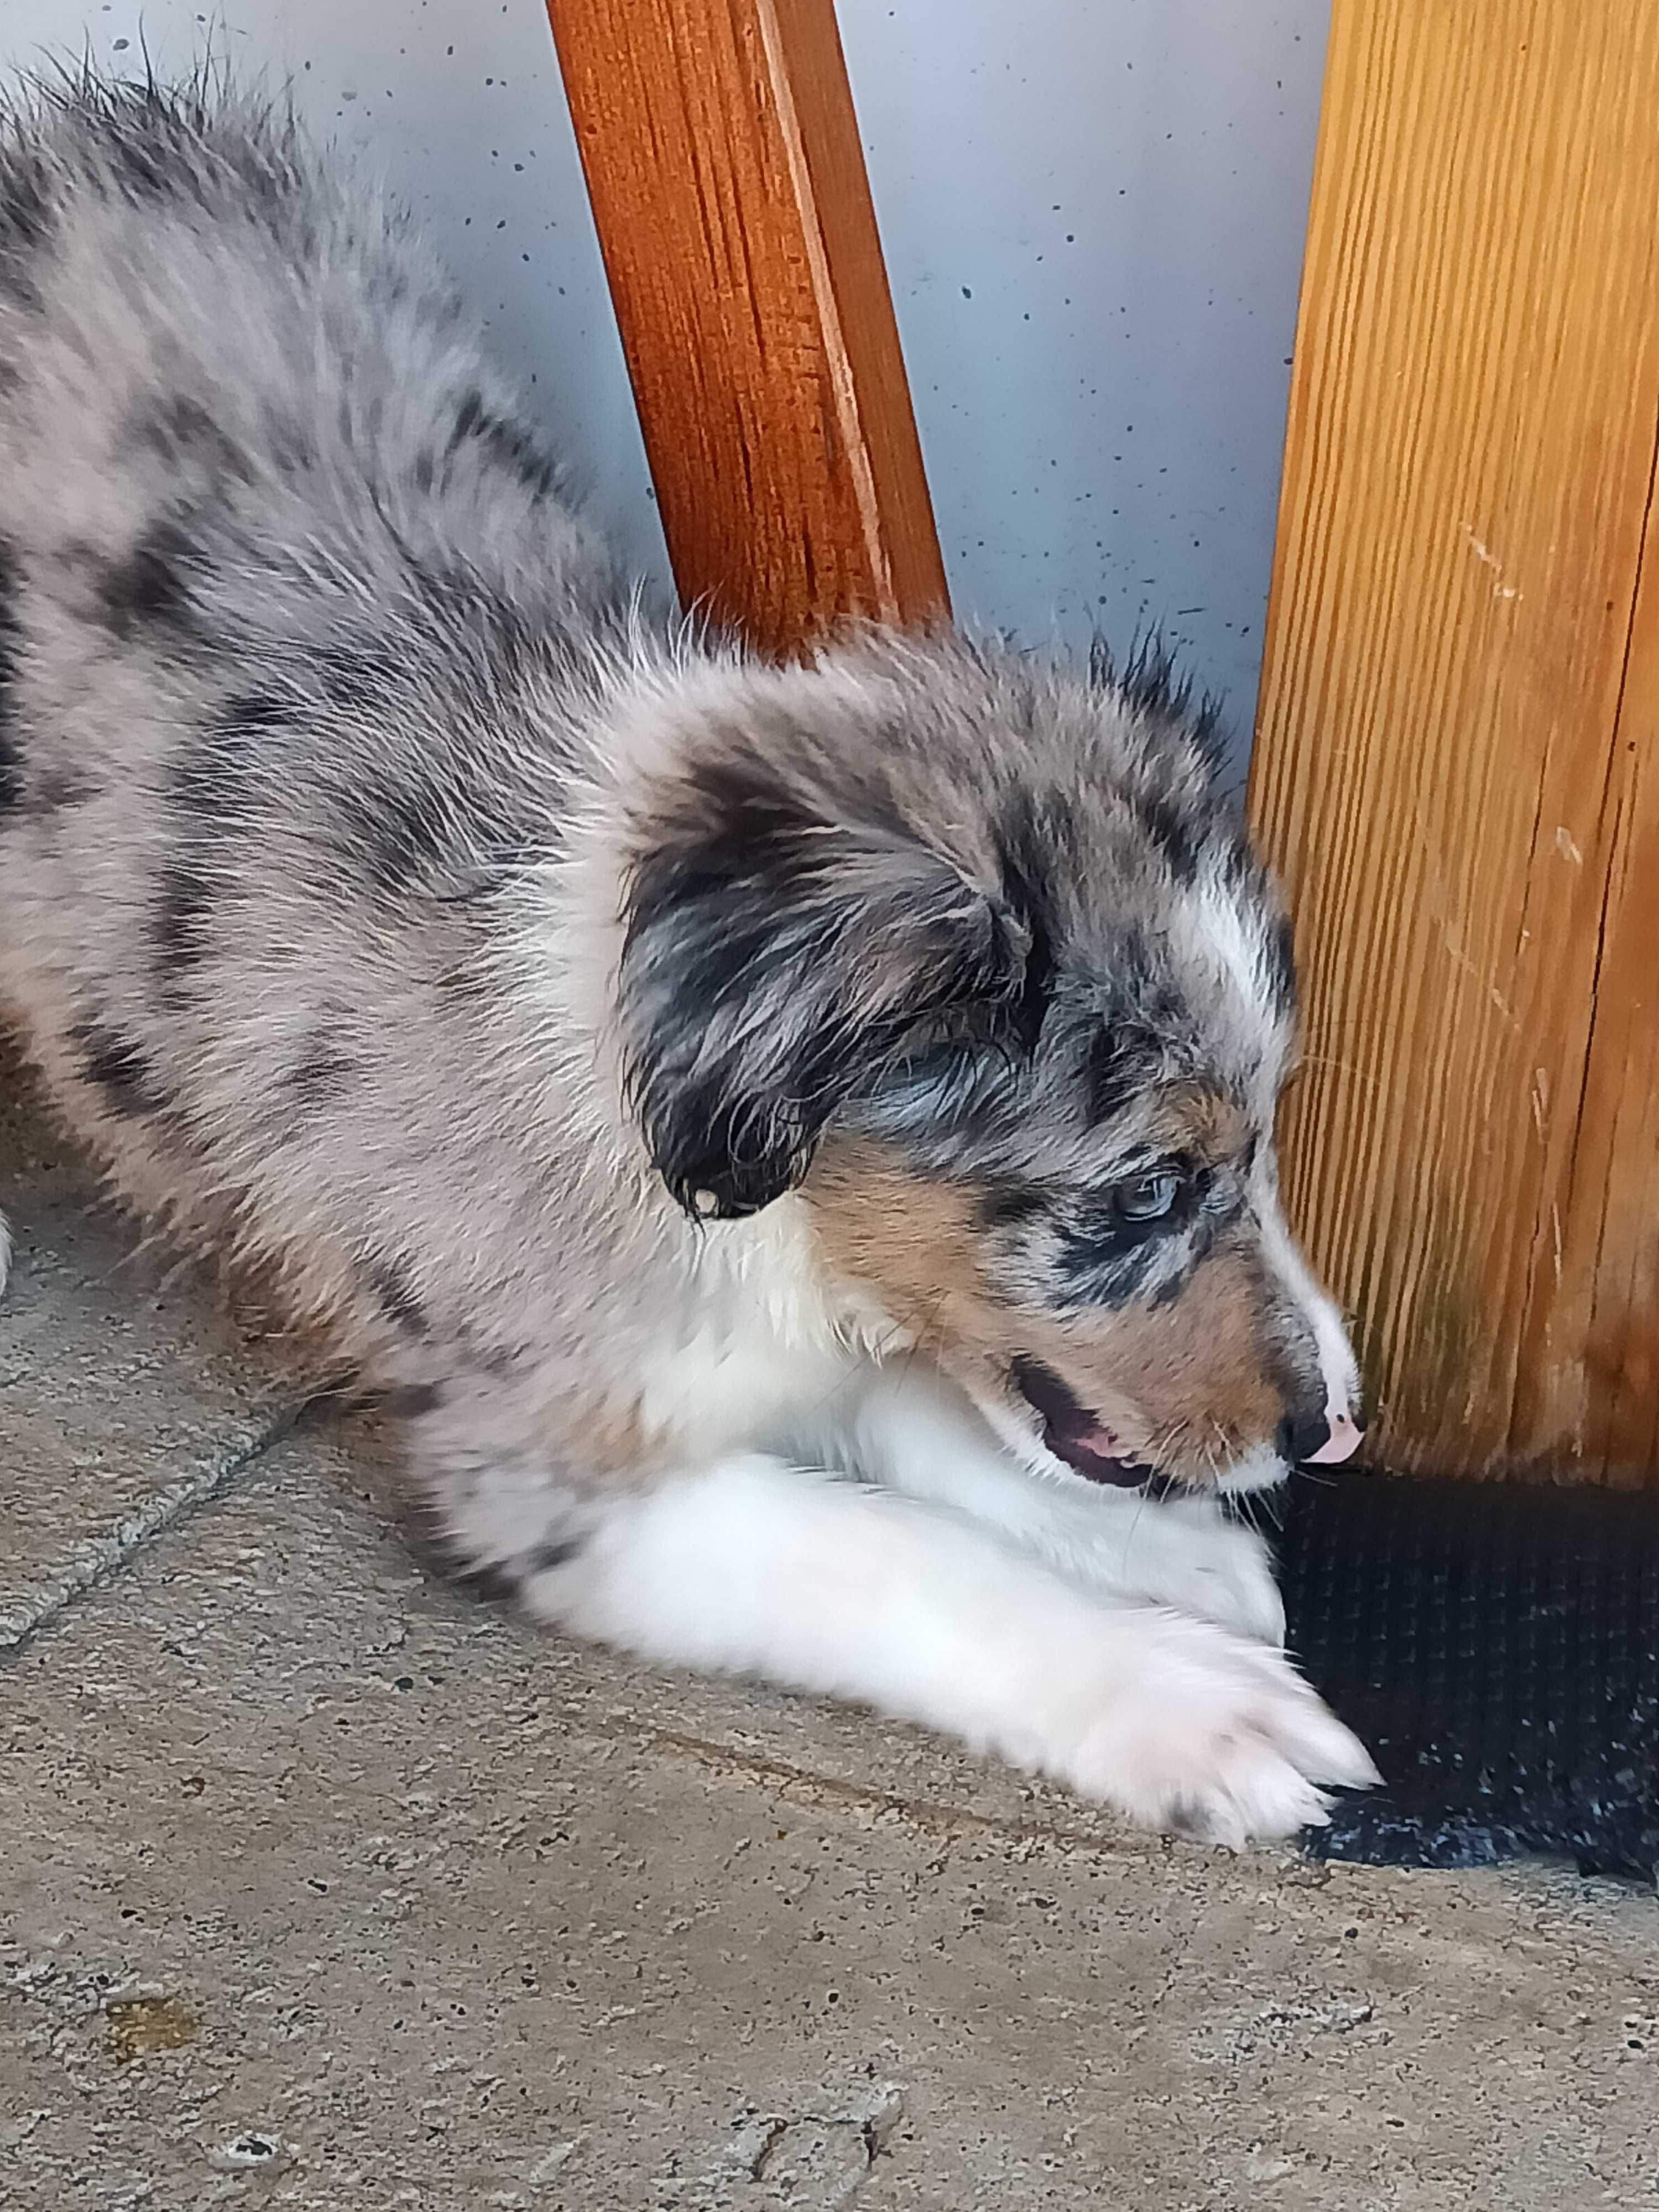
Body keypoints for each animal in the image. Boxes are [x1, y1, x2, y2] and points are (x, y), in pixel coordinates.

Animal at [0, 78, 1380, 1840]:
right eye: (1142, 1189)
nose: (1332, 1429)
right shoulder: (547, 1465)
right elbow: (885, 1549)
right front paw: (1185, 1699)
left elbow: (932, 1417)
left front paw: (1162, 1562)